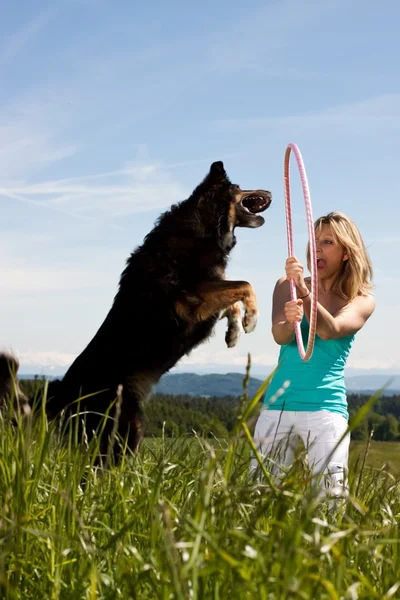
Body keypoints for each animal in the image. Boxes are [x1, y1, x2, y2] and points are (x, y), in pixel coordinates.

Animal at [0, 162, 272, 458]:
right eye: (239, 187)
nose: (270, 191)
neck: (202, 227)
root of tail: (64, 392)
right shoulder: (189, 303)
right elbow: (245, 285)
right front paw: (251, 319)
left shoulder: (207, 294)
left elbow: (232, 298)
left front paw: (233, 332)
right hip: (127, 426)